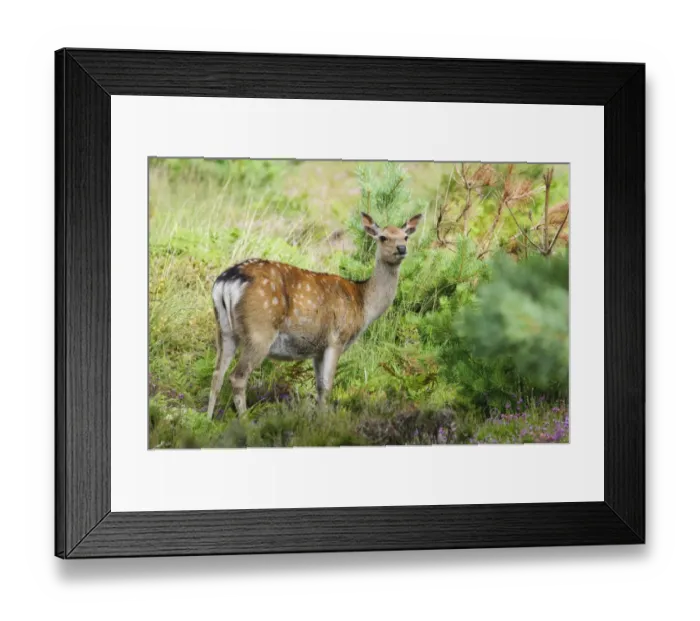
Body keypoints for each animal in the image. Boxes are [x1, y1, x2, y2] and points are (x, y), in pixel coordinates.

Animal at [206, 212, 423, 419]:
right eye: (383, 237)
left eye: (405, 236)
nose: (401, 248)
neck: (363, 304)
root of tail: (226, 283)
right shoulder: (337, 339)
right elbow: (327, 386)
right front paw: (323, 422)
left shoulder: (318, 349)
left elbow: (319, 387)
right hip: (259, 331)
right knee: (237, 377)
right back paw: (244, 420)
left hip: (224, 330)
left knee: (217, 375)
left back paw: (208, 419)